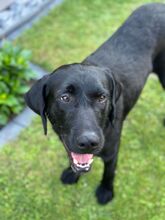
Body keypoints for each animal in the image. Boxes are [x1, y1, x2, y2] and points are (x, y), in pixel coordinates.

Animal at [24, 3, 165, 205]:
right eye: (65, 98)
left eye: (102, 98)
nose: (89, 142)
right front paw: (72, 173)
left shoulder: (112, 151)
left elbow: (109, 172)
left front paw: (106, 191)